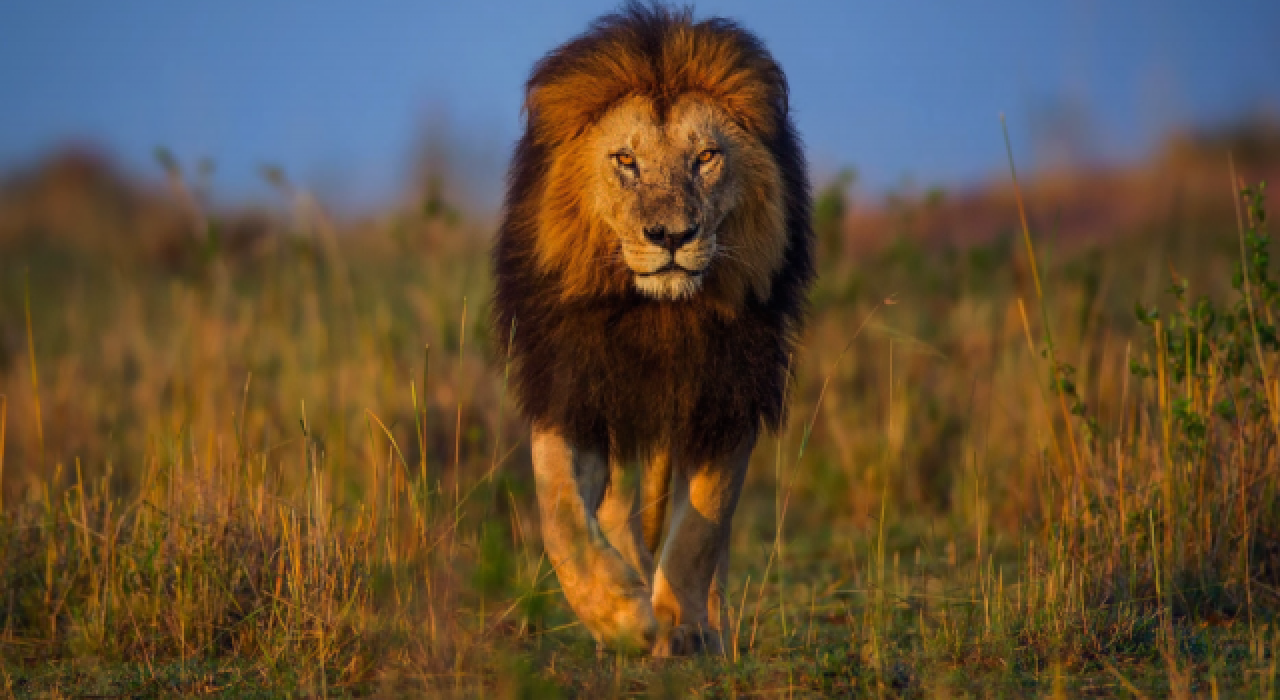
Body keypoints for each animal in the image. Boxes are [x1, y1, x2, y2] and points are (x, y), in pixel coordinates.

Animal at [488, 4, 808, 655]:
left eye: (706, 156)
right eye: (625, 161)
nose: (671, 236)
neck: (659, 316)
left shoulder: (726, 395)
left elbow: (701, 530)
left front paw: (681, 624)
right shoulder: (574, 391)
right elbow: (561, 515)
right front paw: (621, 616)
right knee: (615, 513)